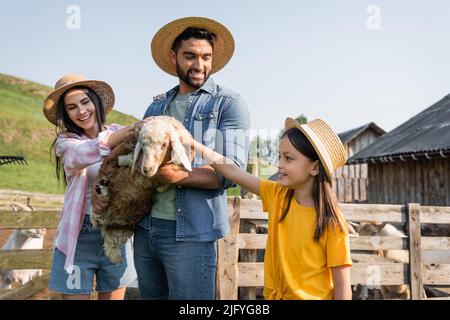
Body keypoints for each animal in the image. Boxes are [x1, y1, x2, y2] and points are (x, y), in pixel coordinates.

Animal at [91, 116, 193, 264]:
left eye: (164, 144)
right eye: (143, 145)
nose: (146, 169)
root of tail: (107, 222)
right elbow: (126, 158)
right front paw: (127, 160)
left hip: (121, 230)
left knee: (111, 246)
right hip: (98, 208)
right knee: (96, 215)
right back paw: (102, 190)